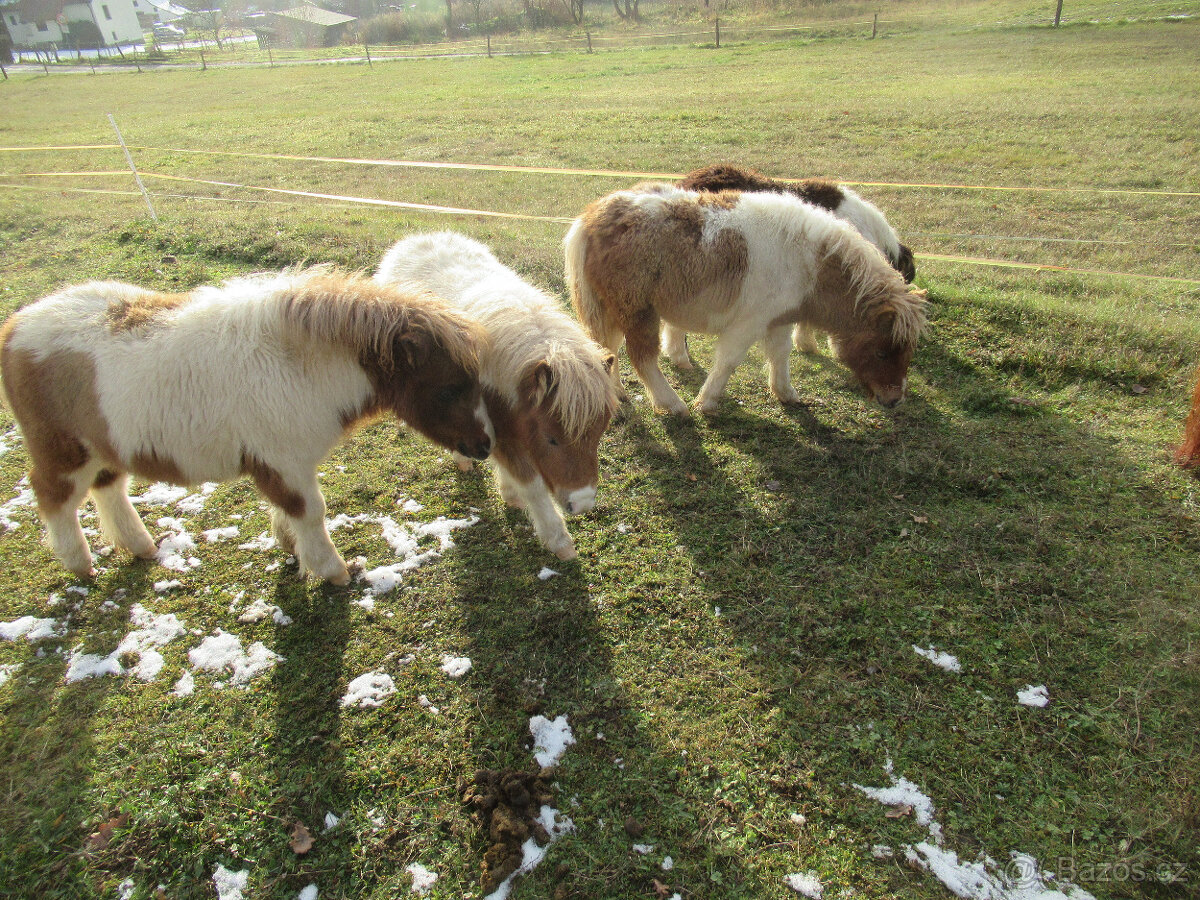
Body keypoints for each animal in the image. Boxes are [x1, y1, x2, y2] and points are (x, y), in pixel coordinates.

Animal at [0, 267, 493, 584]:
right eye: (449, 389)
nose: (484, 446)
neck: (298, 365)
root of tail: (16, 326)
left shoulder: (275, 464)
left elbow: (287, 511)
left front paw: (291, 548)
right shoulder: (286, 463)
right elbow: (310, 512)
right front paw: (335, 573)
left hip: (107, 446)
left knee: (108, 489)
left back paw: (142, 547)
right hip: (64, 450)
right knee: (54, 496)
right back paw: (80, 564)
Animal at [376, 233, 619, 561]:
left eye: (597, 436)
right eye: (552, 439)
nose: (581, 504)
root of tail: (413, 241)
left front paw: (510, 493)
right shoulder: (498, 433)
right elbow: (533, 487)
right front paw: (560, 541)